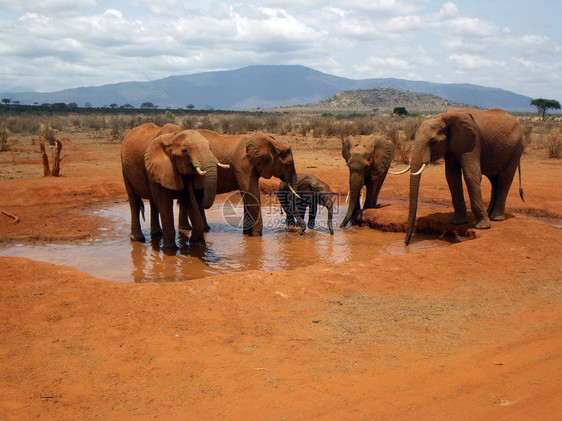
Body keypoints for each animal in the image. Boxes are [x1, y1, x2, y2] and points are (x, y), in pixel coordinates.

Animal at [120, 123, 219, 251]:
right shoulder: (159, 166)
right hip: (124, 168)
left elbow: (188, 198)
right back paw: (138, 239)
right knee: (134, 201)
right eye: (185, 151)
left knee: (153, 202)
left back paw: (157, 234)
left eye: (210, 148)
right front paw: (170, 250)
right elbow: (164, 201)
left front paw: (197, 244)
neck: (172, 137)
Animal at [396, 107, 524, 243]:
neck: (443, 117)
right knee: (494, 180)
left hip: (516, 148)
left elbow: (471, 175)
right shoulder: (451, 146)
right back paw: (489, 213)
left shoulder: (473, 143)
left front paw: (483, 227)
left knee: (505, 179)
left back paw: (496, 218)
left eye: (433, 142)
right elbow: (451, 176)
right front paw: (457, 222)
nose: (406, 242)